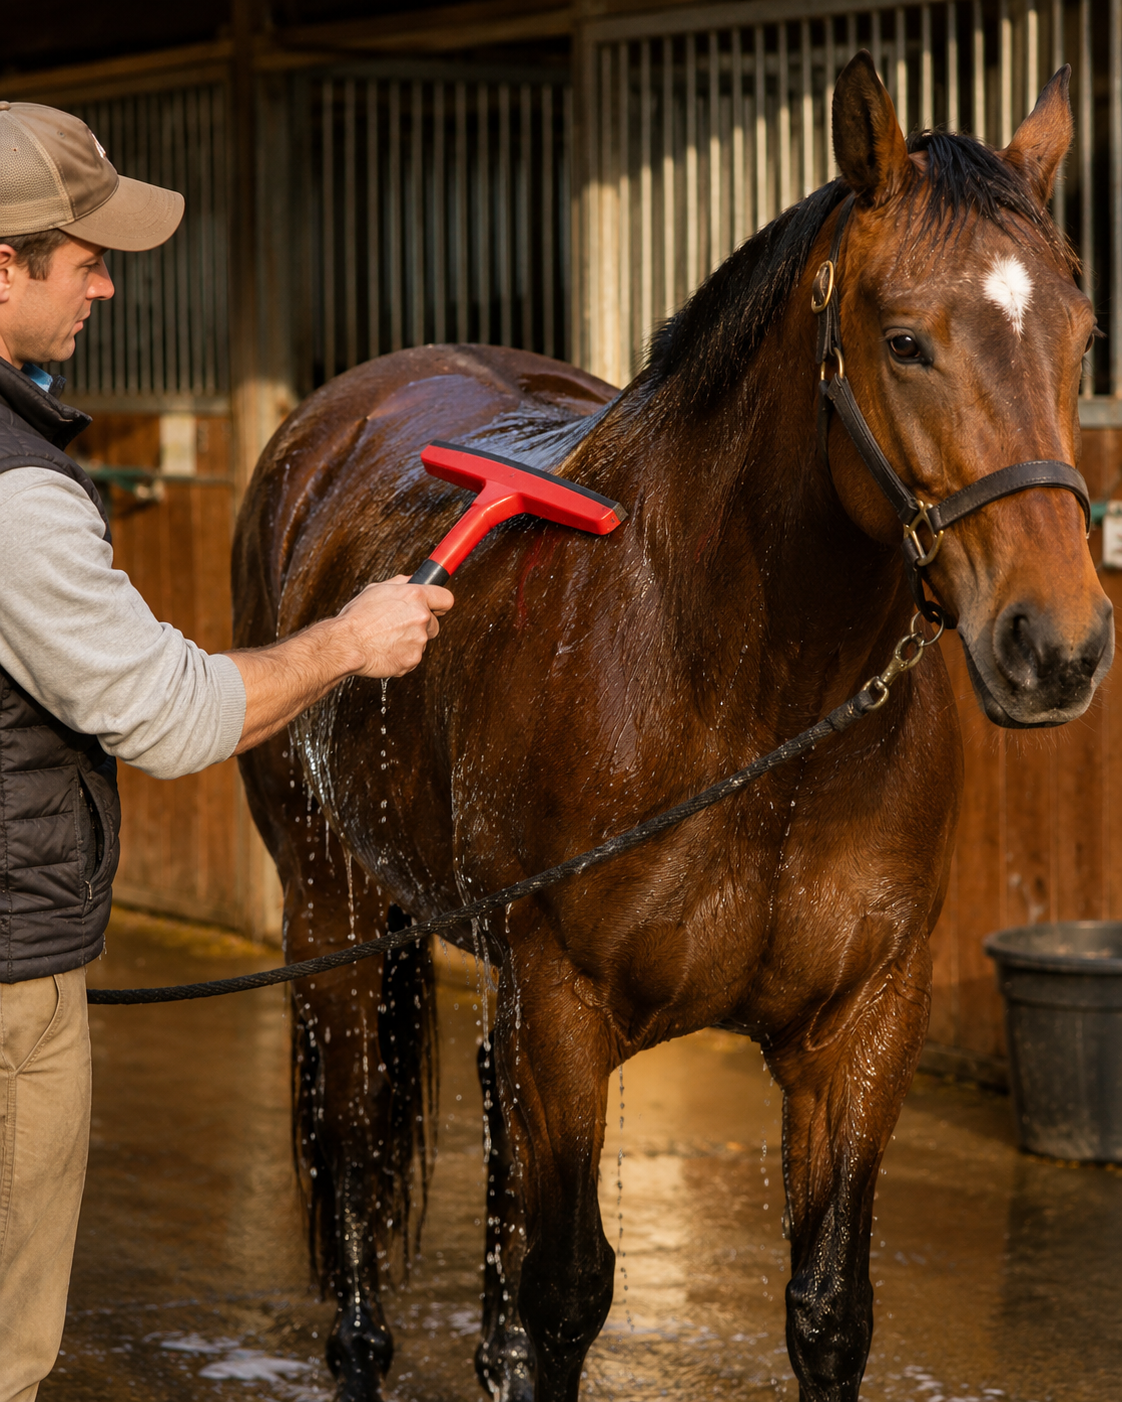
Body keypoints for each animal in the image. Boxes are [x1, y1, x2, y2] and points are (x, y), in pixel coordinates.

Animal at [233, 53, 1110, 1402]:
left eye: (1082, 339)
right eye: (903, 340)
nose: (1056, 644)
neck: (749, 698)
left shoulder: (865, 1024)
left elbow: (827, 1309)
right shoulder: (565, 1010)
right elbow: (570, 1292)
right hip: (332, 915)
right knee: (357, 1150)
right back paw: (366, 1346)